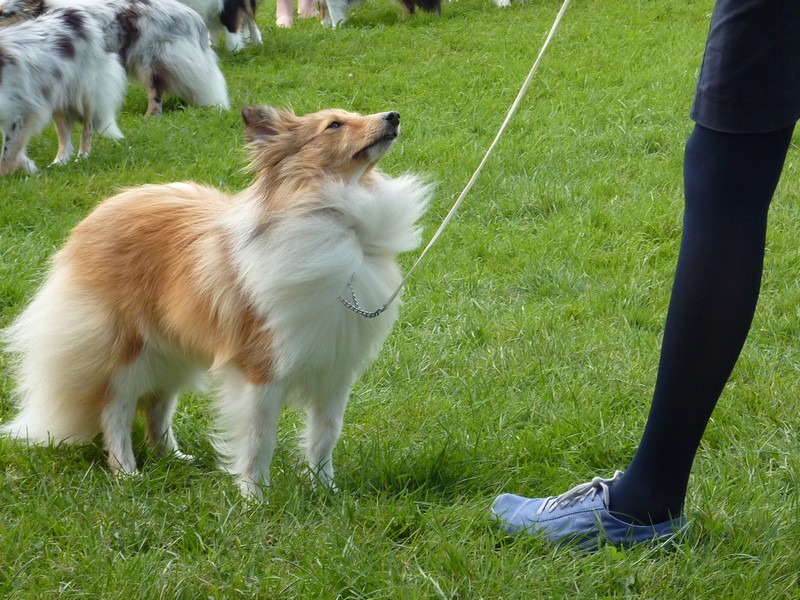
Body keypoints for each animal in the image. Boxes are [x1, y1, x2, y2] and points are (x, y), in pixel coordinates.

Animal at [0, 7, 126, 176]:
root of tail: (76, 13)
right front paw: (30, 167)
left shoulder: (21, 112)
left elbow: (8, 155)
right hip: (57, 97)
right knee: (64, 134)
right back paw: (60, 162)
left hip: (86, 94)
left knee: (87, 129)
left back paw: (82, 157)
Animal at [1, 106, 432, 496]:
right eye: (334, 124)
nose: (393, 116)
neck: (340, 221)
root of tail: (99, 213)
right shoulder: (261, 369)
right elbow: (259, 439)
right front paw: (255, 500)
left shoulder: (334, 369)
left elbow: (324, 436)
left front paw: (326, 492)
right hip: (128, 350)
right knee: (116, 410)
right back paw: (128, 472)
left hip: (172, 347)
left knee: (157, 404)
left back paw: (173, 459)